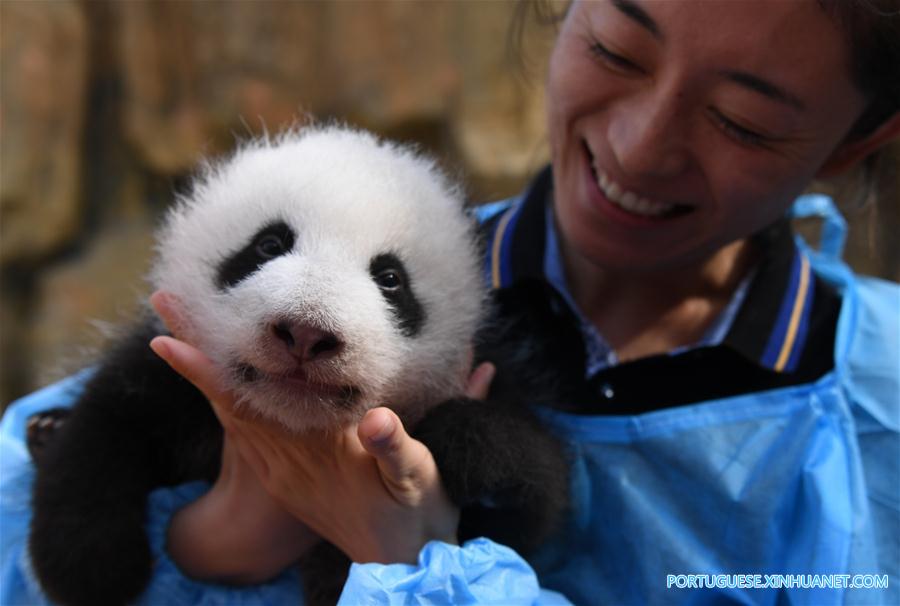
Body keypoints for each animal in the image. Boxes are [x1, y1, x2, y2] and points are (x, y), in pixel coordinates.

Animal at [28, 125, 569, 606]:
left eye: (391, 278)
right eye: (268, 244)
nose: (306, 333)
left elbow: (533, 501)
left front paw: (458, 441)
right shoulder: (173, 369)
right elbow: (107, 425)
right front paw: (93, 568)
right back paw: (43, 431)